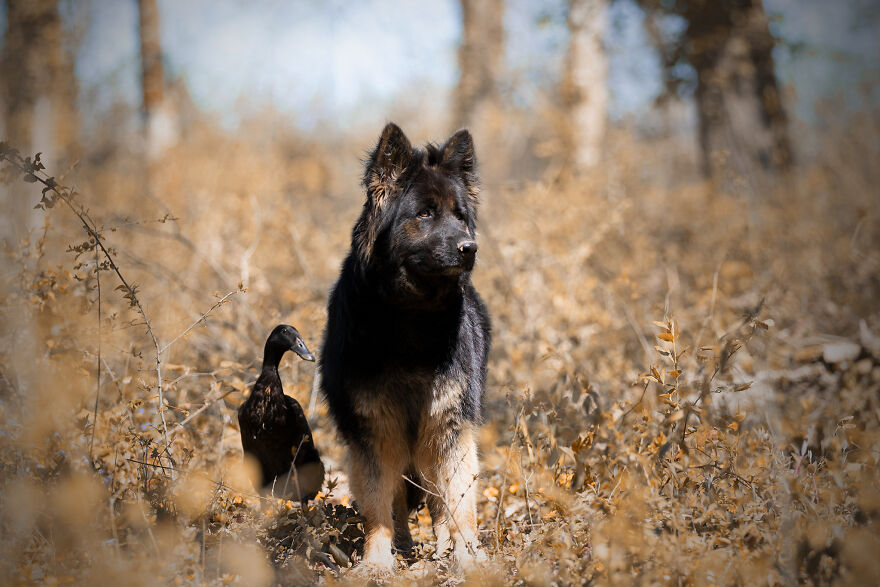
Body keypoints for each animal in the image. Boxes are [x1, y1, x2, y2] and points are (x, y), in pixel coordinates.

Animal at [320, 123, 492, 568]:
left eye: (460, 216)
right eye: (425, 214)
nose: (470, 248)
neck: (412, 318)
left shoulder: (448, 423)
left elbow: (459, 500)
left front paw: (469, 558)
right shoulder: (376, 427)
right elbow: (380, 503)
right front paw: (378, 560)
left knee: (437, 497)